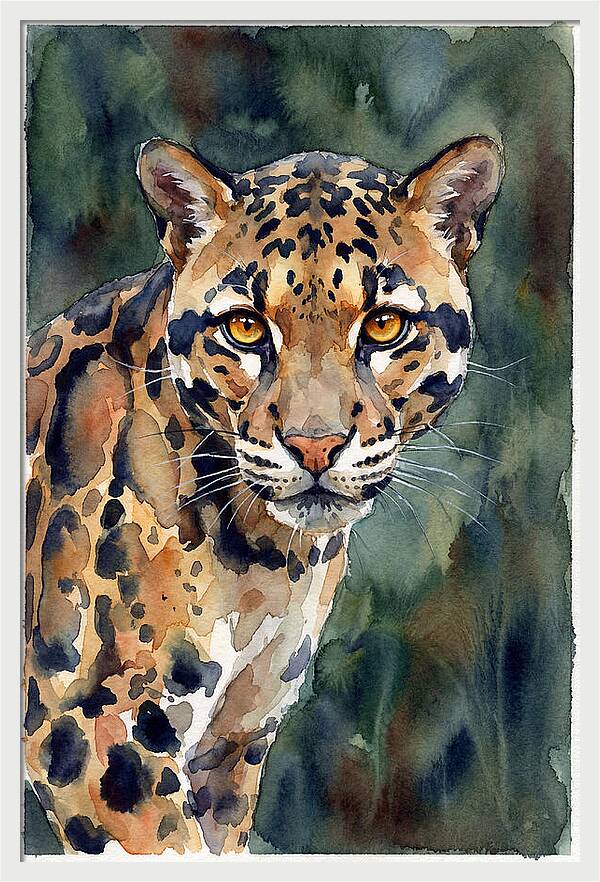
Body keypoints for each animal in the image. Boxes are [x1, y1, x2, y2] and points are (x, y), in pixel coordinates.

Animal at [24, 134, 503, 856]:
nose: (315, 445)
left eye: (385, 326)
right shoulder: (91, 729)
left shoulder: (231, 744)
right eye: (246, 328)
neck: (265, 559)